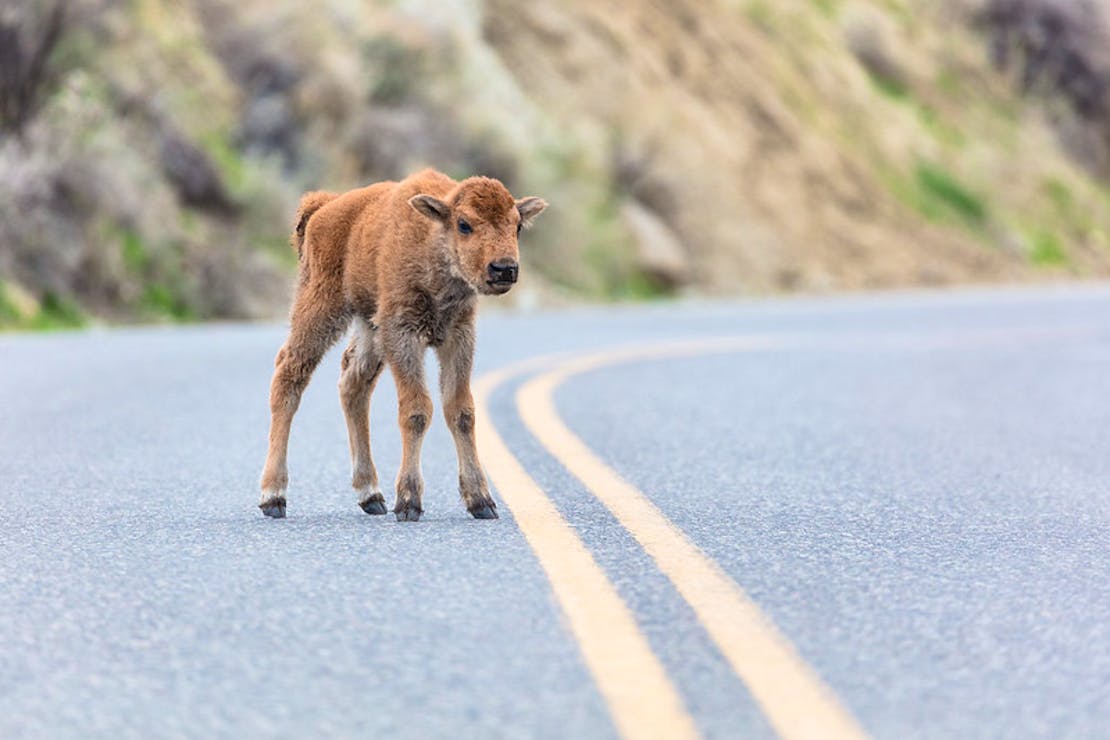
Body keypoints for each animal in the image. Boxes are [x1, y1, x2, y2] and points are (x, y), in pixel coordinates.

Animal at [256, 170, 550, 523]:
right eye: (464, 224)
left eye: (517, 225)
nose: (504, 268)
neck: (433, 242)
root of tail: (324, 206)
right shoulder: (403, 334)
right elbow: (416, 410)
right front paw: (409, 502)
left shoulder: (458, 336)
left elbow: (461, 410)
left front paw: (481, 500)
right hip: (321, 309)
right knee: (289, 377)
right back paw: (273, 497)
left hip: (370, 327)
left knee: (353, 384)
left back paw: (371, 494)